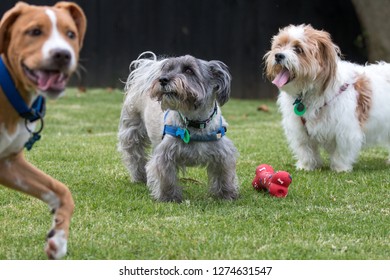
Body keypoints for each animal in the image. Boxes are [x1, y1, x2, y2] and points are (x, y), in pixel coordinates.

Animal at [0, 1, 86, 258]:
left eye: (71, 34)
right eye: (35, 31)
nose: (62, 54)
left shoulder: (9, 163)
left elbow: (61, 191)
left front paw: (59, 239)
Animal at [266, 24, 390, 172]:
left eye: (298, 49)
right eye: (280, 45)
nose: (278, 55)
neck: (310, 92)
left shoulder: (345, 129)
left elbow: (342, 152)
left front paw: (340, 168)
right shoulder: (299, 130)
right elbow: (305, 149)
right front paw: (306, 166)